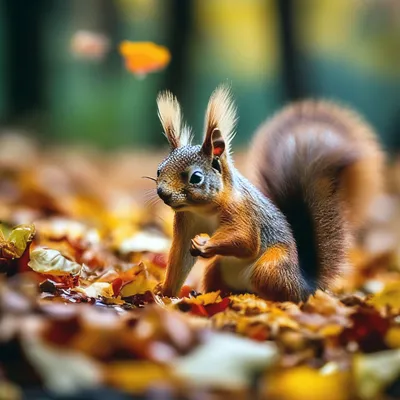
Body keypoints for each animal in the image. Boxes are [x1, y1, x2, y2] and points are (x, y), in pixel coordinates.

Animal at [154, 85, 384, 304]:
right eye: (159, 170)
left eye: (196, 177)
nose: (162, 193)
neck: (203, 209)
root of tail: (305, 286)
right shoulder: (186, 221)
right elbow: (180, 259)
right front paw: (165, 293)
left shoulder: (242, 212)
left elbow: (246, 241)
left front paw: (205, 244)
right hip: (218, 269)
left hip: (271, 268)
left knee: (279, 294)